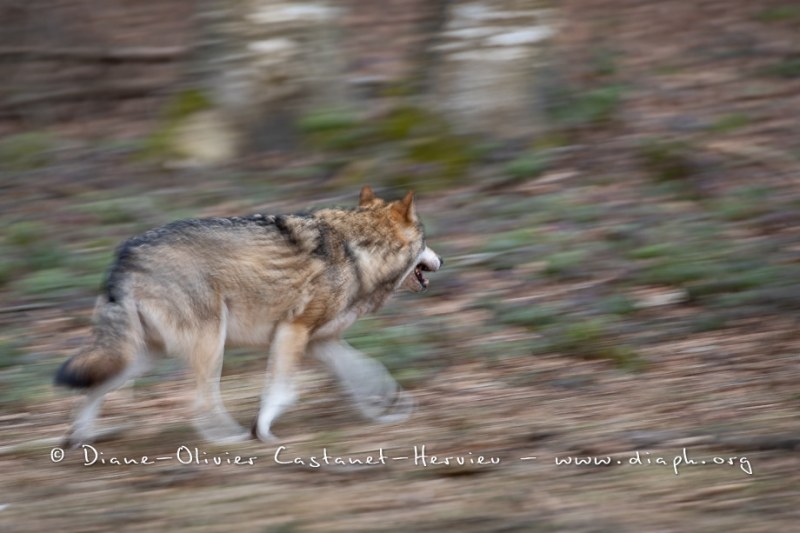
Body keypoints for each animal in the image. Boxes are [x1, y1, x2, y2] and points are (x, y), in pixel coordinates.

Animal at [54, 187, 444, 444]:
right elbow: (279, 391)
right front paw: (264, 431)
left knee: (92, 390)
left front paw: (387, 408)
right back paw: (229, 437)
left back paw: (80, 439)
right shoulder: (292, 332)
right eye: (427, 242)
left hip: (142, 356)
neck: (357, 251)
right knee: (199, 402)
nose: (442, 260)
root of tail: (124, 254)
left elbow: (368, 371)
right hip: (211, 343)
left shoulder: (320, 342)